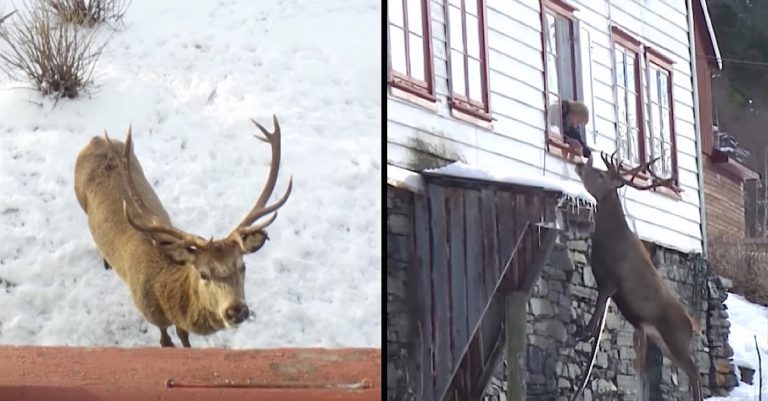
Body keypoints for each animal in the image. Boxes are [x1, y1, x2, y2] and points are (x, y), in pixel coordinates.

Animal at [74, 115, 292, 347]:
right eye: (203, 274)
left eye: (243, 266)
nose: (236, 311)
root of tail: (95, 139)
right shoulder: (149, 313)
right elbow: (165, 338)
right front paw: (169, 343)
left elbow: (183, 335)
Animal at [570, 151, 702, 401]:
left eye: (600, 174)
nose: (580, 164)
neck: (610, 240)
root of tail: (692, 326)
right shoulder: (603, 280)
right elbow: (599, 315)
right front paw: (587, 335)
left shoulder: (612, 279)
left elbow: (597, 310)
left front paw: (583, 333)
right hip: (664, 343)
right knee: (689, 372)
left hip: (677, 340)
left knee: (694, 371)